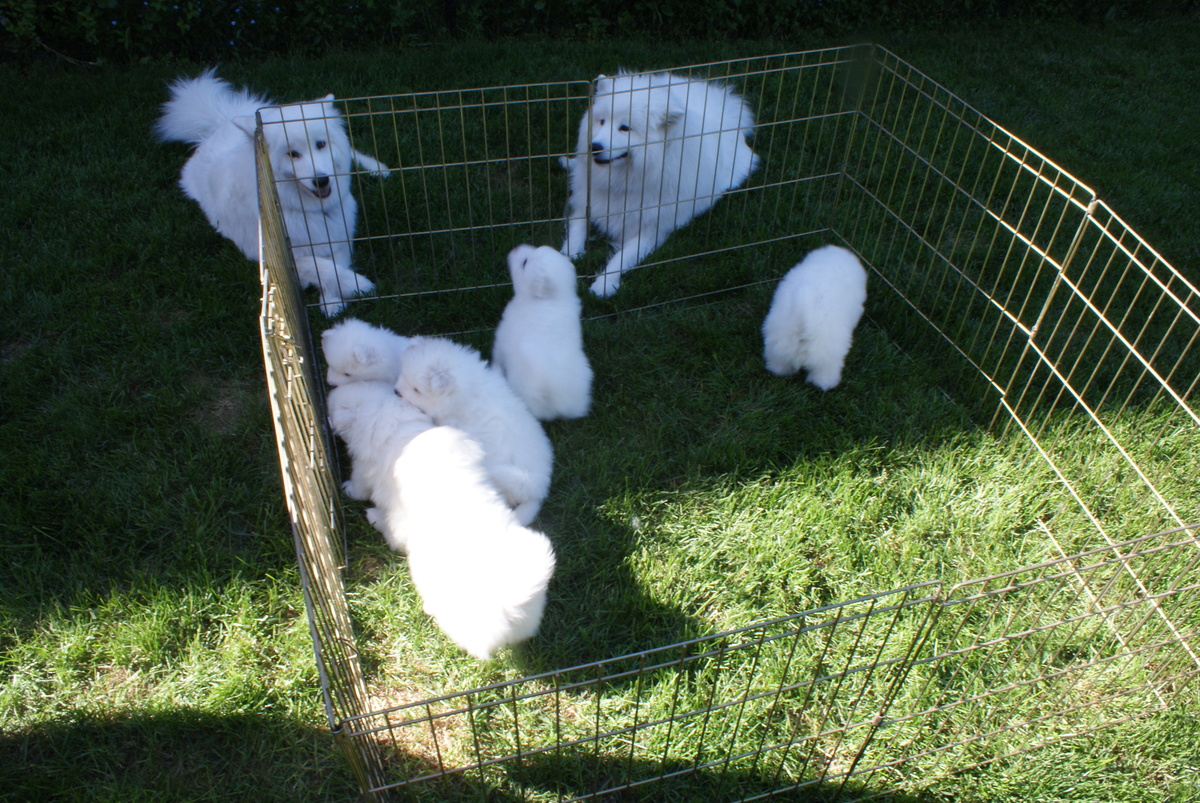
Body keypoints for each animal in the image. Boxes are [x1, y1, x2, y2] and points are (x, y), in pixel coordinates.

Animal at [155, 68, 388, 316]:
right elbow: (321, 266)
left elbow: (334, 262)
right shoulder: (277, 258)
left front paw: (333, 298)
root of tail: (220, 123)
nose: (321, 180)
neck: (308, 210)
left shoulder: (341, 237)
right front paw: (356, 285)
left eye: (321, 144)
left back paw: (378, 169)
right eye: (292, 154)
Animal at [561, 71, 760, 297]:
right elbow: (576, 230)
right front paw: (568, 256)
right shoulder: (586, 203)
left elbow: (622, 257)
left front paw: (604, 284)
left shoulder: (651, 231)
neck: (622, 180)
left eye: (625, 128)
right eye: (601, 121)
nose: (593, 147)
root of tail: (722, 106)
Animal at [762, 245, 868, 390]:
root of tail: (804, 325)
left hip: (778, 348)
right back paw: (827, 385)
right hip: (827, 360)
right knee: (824, 375)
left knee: (779, 365)